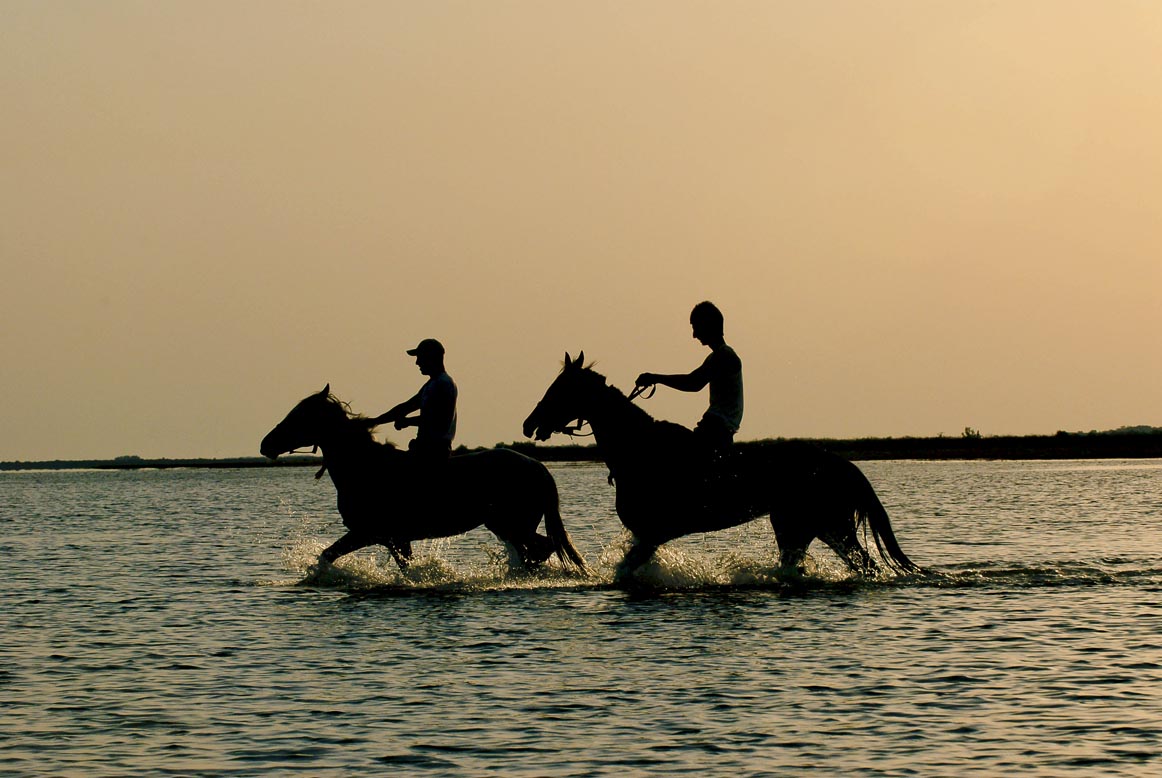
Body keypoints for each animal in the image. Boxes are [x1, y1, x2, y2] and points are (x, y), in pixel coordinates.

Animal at [261, 385, 589, 574]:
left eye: (299, 416)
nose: (266, 444)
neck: (365, 467)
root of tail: (538, 467)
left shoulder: (372, 534)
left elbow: (327, 557)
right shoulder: (395, 539)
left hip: (514, 525)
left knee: (541, 549)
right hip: (507, 526)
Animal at [522, 353, 919, 578]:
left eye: (560, 388)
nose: (529, 424)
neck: (640, 450)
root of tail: (842, 464)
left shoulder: (653, 533)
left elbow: (625, 570)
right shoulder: (647, 536)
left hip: (829, 525)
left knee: (864, 564)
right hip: (800, 528)